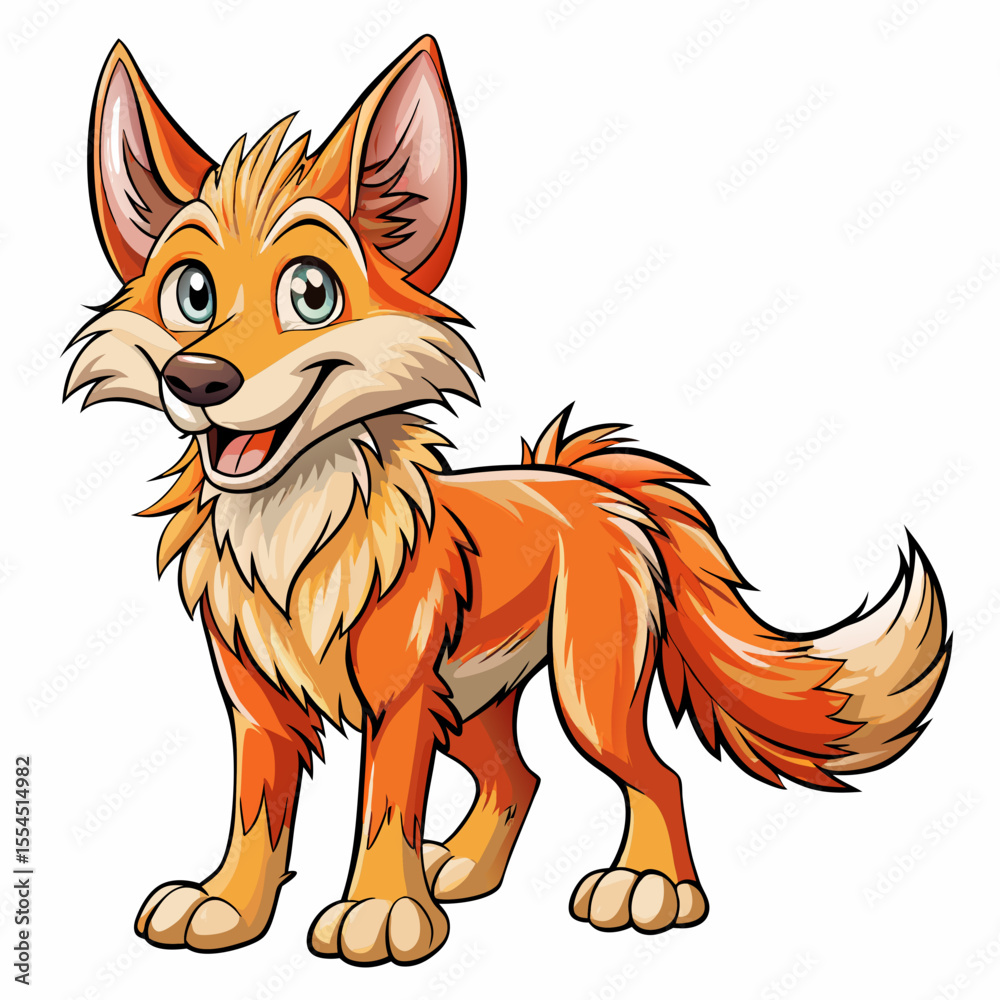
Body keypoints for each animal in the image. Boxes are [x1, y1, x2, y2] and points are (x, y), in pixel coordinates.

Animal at [64, 36, 950, 966]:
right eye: (191, 294)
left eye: (311, 294)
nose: (197, 379)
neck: (295, 529)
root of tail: (591, 482)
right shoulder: (259, 707)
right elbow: (256, 815)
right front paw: (231, 908)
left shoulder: (401, 702)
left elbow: (384, 808)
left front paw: (383, 911)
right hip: (470, 705)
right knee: (518, 776)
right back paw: (461, 870)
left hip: (583, 695)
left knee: (657, 775)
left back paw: (650, 887)